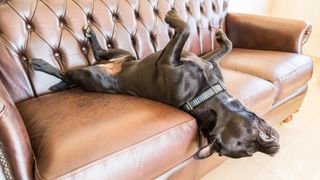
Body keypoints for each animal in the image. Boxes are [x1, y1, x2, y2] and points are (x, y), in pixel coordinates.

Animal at [30, 10, 280, 159]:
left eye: (249, 150)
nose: (273, 149)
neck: (208, 93)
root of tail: (111, 66)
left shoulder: (172, 60)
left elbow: (187, 30)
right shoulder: (202, 60)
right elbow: (220, 44)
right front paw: (219, 36)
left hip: (91, 75)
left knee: (67, 73)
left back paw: (43, 66)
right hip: (122, 53)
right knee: (95, 55)